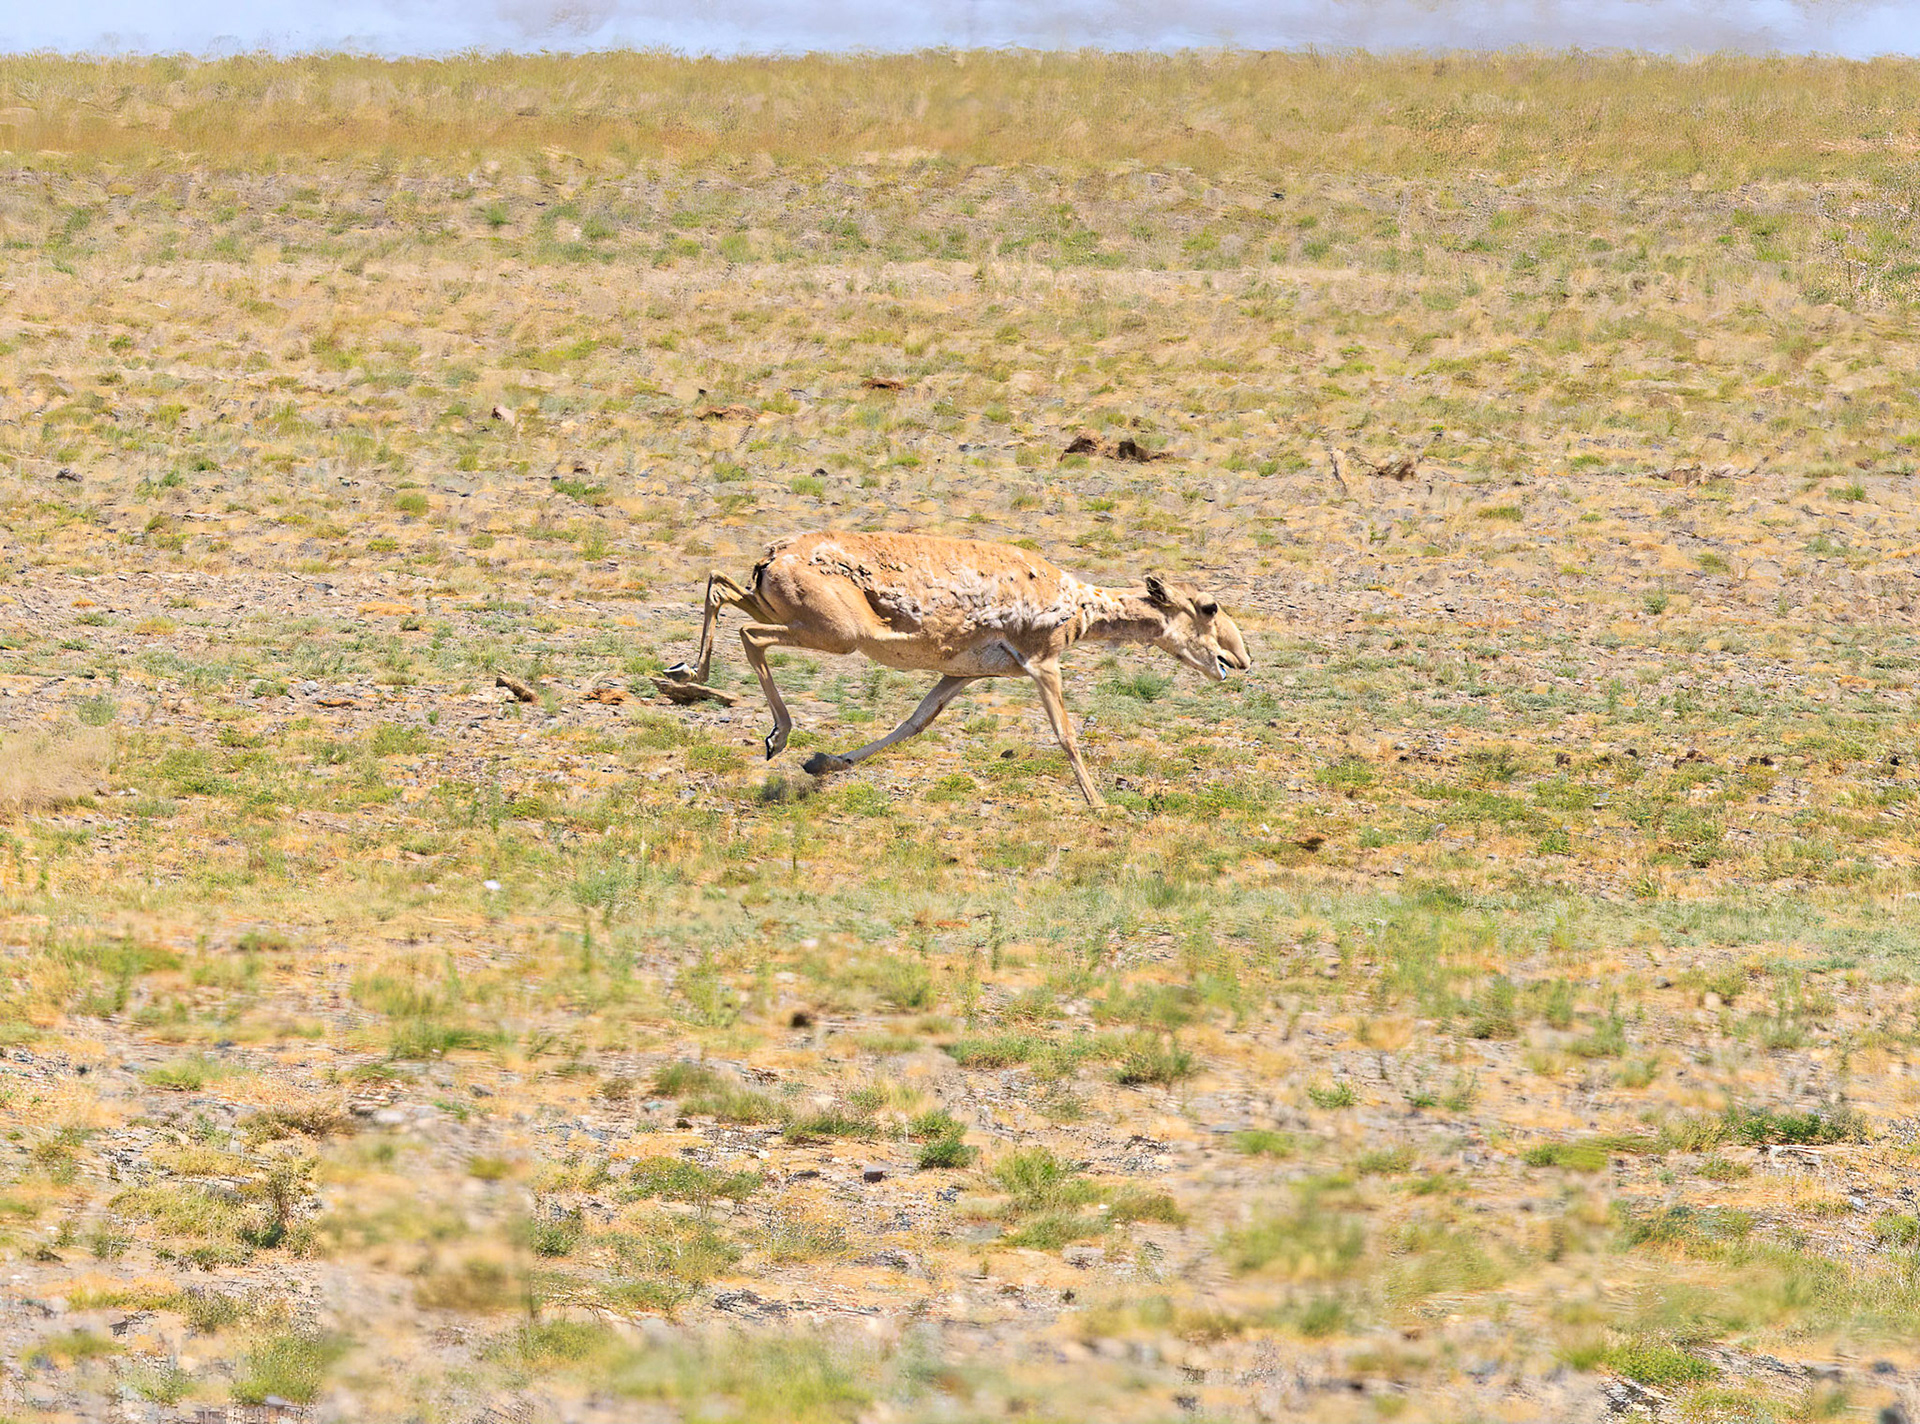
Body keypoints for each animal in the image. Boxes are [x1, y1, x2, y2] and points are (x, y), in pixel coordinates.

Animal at [662, 531, 1250, 809]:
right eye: (1209, 607)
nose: (1240, 660)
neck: (1077, 604)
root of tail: (773, 556)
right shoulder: (1043, 665)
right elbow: (1066, 736)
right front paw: (1101, 805)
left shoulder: (963, 676)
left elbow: (915, 722)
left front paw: (825, 763)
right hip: (837, 637)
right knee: (748, 633)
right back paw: (772, 734)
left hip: (789, 613)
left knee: (720, 585)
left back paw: (682, 674)